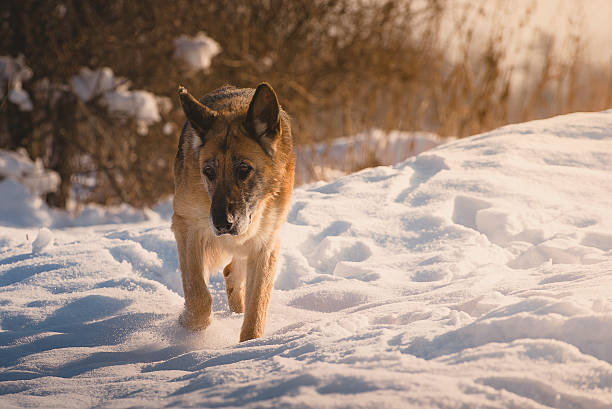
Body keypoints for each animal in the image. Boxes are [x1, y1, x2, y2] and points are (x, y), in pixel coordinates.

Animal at [171, 83, 296, 342]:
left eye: (244, 170)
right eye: (208, 172)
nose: (221, 224)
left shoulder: (265, 244)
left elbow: (257, 306)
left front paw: (250, 345)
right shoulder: (187, 226)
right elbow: (198, 297)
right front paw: (187, 326)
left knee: (232, 271)